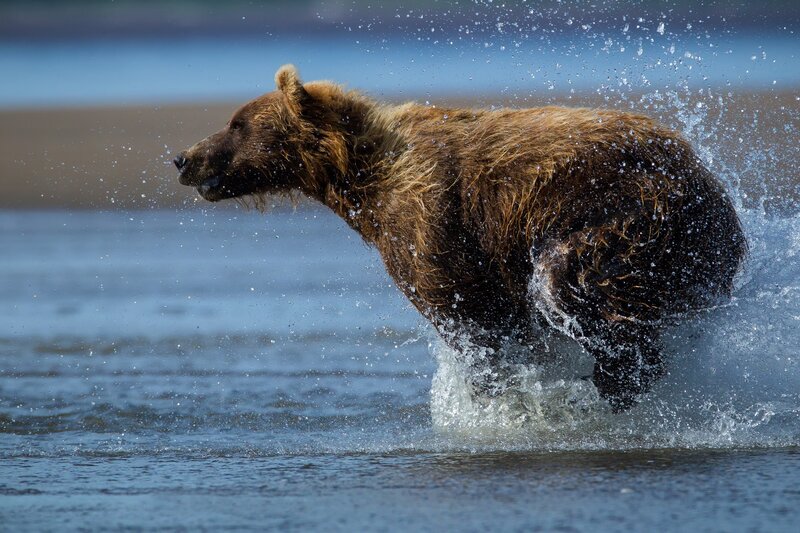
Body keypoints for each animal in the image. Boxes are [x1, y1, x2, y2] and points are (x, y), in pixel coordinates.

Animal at [174, 65, 747, 411]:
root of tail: (709, 181)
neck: (361, 179)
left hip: (633, 215)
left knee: (572, 282)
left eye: (238, 123)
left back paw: (611, 379)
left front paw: (498, 397)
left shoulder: (431, 222)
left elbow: (474, 319)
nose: (184, 157)